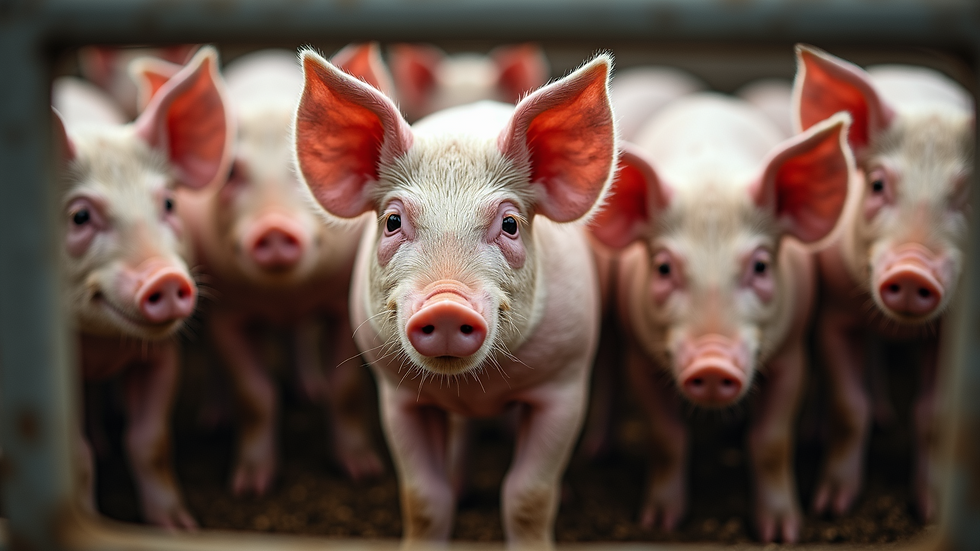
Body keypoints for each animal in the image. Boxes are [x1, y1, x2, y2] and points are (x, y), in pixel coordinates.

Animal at [53, 46, 232, 529]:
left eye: (168, 202)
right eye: (79, 216)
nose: (165, 278)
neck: (102, 347)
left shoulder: (163, 355)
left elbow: (149, 441)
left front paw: (178, 527)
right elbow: (75, 455)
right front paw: (91, 522)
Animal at [132, 44, 391, 495]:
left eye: (302, 173)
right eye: (232, 173)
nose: (273, 228)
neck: (282, 295)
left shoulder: (340, 305)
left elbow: (344, 389)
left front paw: (363, 472)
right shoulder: (228, 313)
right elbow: (255, 394)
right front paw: (249, 488)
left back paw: (308, 390)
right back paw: (213, 420)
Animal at [589, 94, 853, 543]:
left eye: (761, 265)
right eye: (663, 267)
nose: (712, 363)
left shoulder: (792, 353)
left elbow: (771, 442)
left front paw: (780, 534)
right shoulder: (640, 358)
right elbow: (666, 437)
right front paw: (659, 523)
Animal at [793, 44, 974, 520]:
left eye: (970, 196)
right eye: (877, 184)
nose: (912, 271)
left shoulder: (946, 333)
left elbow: (932, 414)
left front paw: (928, 511)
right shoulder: (835, 314)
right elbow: (848, 407)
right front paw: (831, 507)